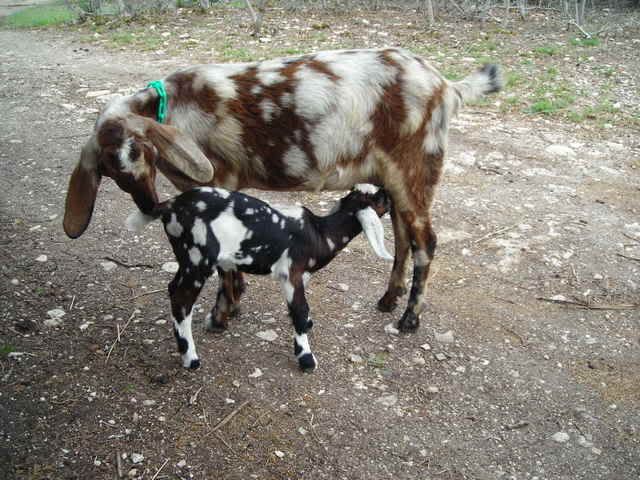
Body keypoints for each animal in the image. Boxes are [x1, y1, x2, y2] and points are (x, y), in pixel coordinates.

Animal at [63, 48, 502, 332]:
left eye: (140, 151)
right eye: (108, 171)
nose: (147, 204)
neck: (175, 108)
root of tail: (446, 86)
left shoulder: (219, 184)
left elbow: (225, 263)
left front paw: (222, 315)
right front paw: (233, 306)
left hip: (415, 171)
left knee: (425, 241)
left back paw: (409, 319)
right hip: (392, 180)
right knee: (402, 238)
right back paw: (388, 300)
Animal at [127, 184, 392, 370]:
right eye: (379, 199)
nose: (389, 194)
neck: (320, 233)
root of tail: (170, 205)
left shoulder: (302, 276)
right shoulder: (291, 273)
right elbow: (299, 311)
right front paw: (306, 358)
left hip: (186, 259)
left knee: (173, 288)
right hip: (197, 258)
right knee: (182, 301)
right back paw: (190, 359)